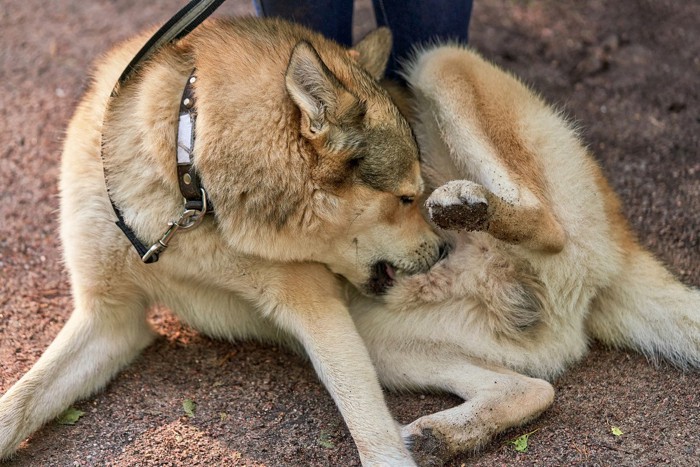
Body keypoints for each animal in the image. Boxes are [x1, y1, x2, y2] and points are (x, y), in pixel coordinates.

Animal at [0, 17, 442, 464]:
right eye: (406, 199)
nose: (443, 249)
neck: (187, 178)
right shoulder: (109, 319)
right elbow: (20, 402)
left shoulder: (316, 309)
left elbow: (369, 423)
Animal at [350, 45, 700, 462]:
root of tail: (621, 249)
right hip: (379, 336)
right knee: (534, 389)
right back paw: (437, 439)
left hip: (445, 62)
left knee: (550, 228)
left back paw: (470, 209)